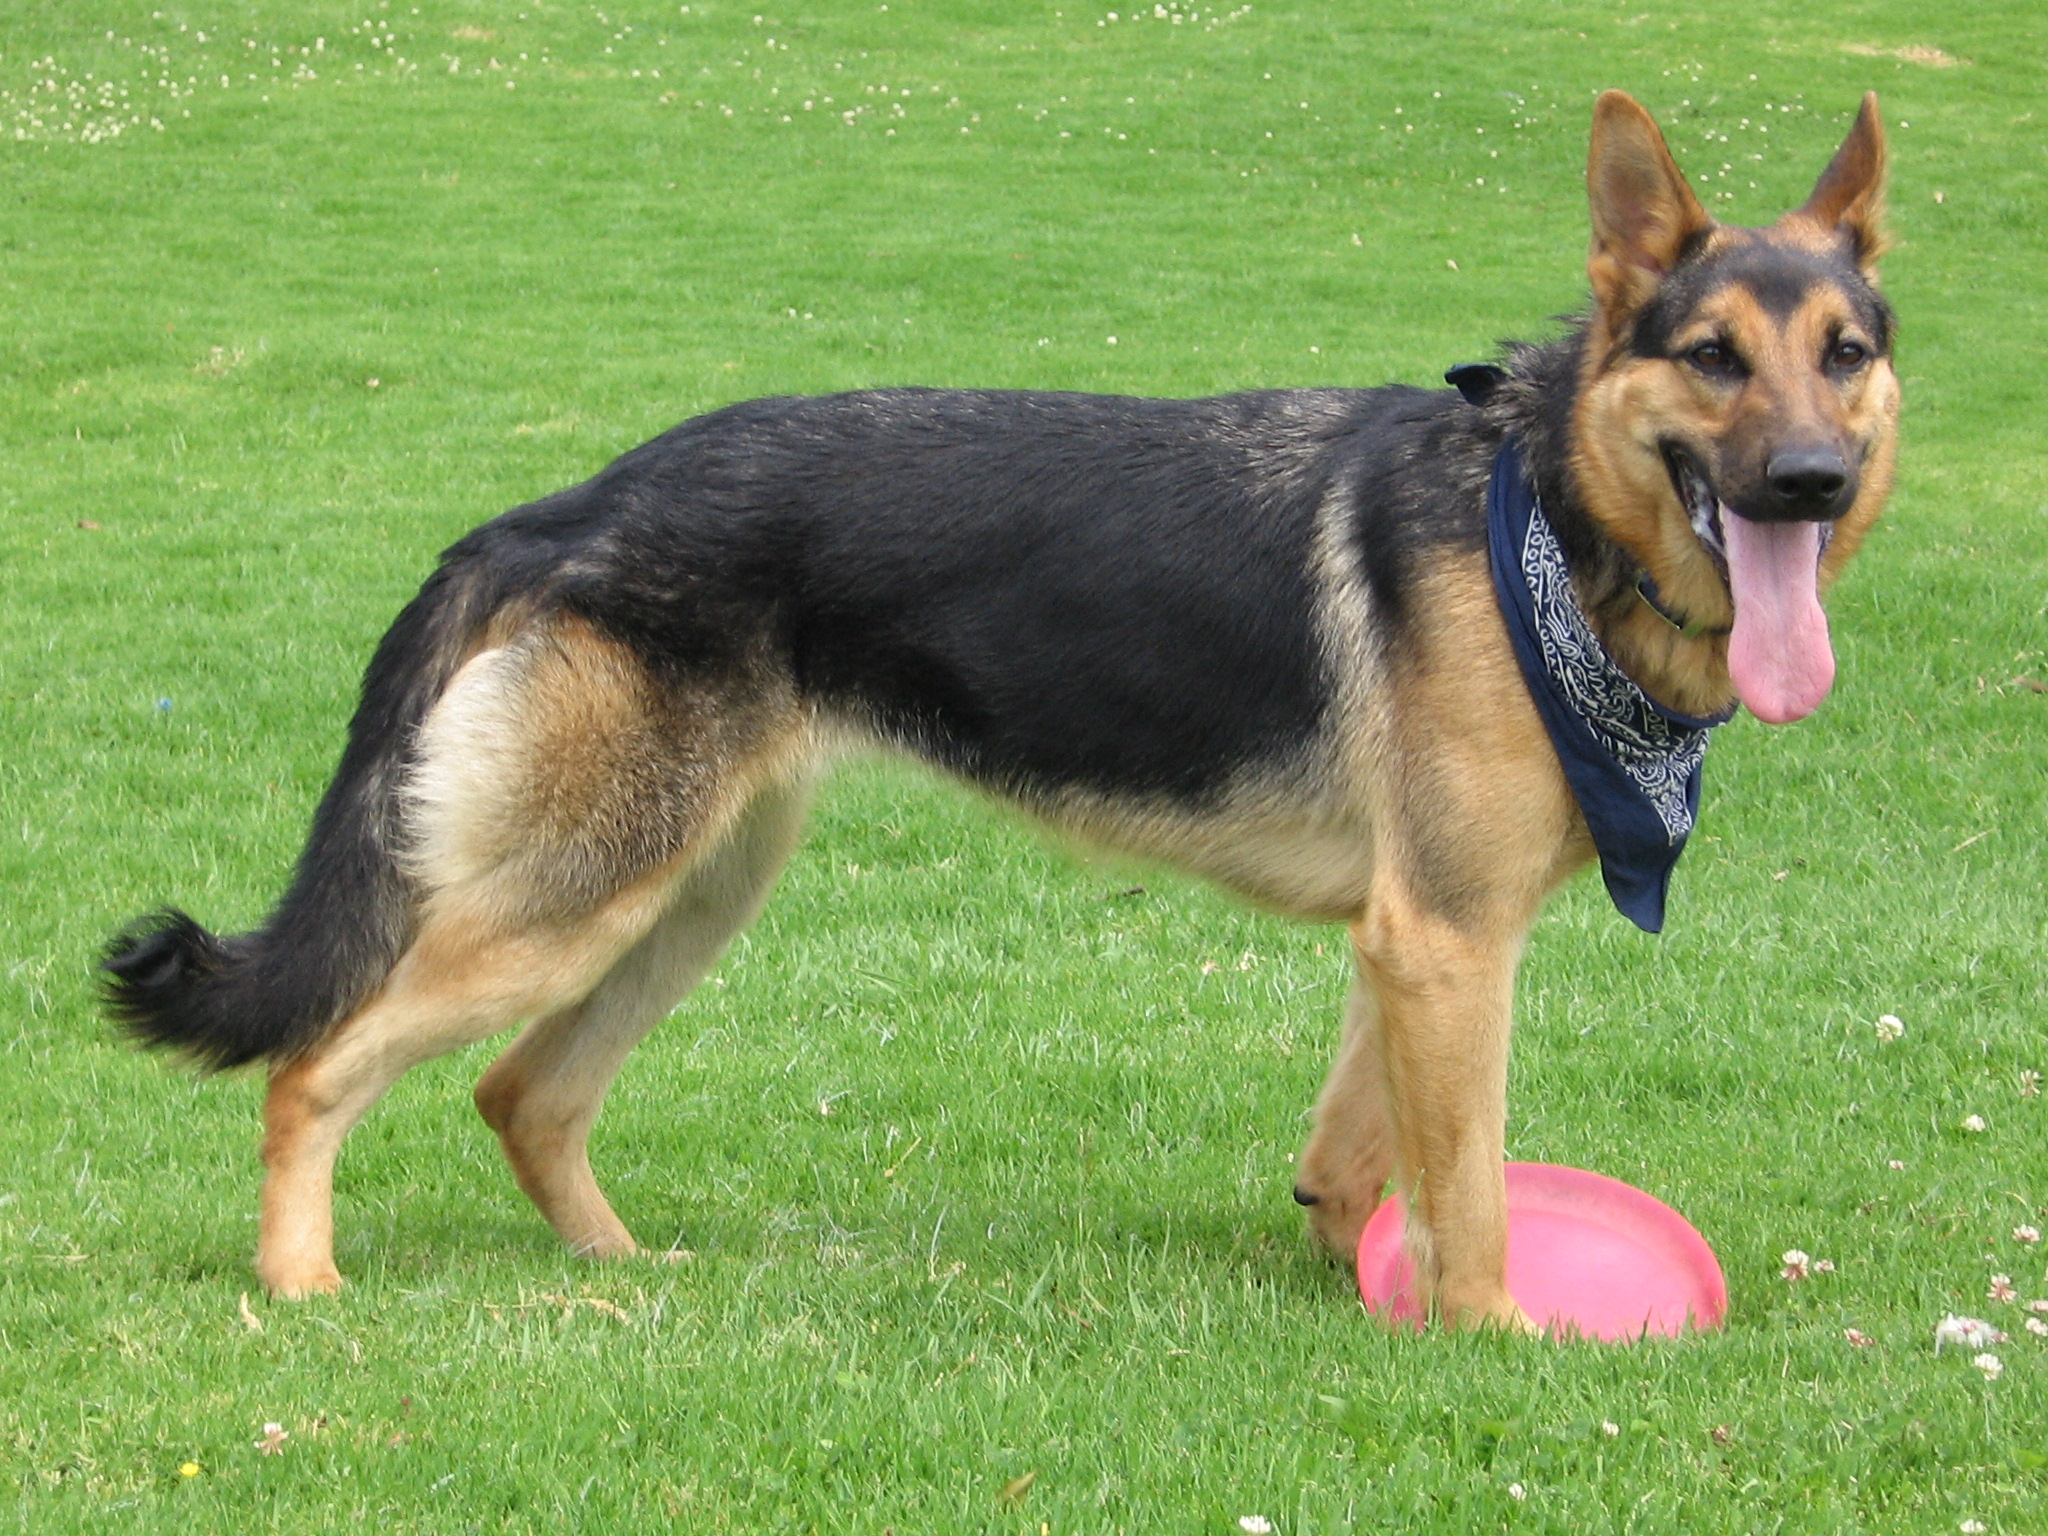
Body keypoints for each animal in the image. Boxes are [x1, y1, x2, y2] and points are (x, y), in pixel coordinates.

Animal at [103, 93, 1892, 1327]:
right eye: (1713, 358)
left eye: (1844, 352)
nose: (1814, 479)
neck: (1551, 521)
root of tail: (563, 508)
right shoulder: (1448, 941)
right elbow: (1472, 1188)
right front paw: (1495, 1342)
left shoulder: (1414, 945)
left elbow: (1368, 1153)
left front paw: (1355, 1278)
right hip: (575, 901)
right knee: (318, 1069)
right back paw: (304, 1287)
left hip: (685, 895)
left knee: (523, 1093)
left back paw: (629, 1277)